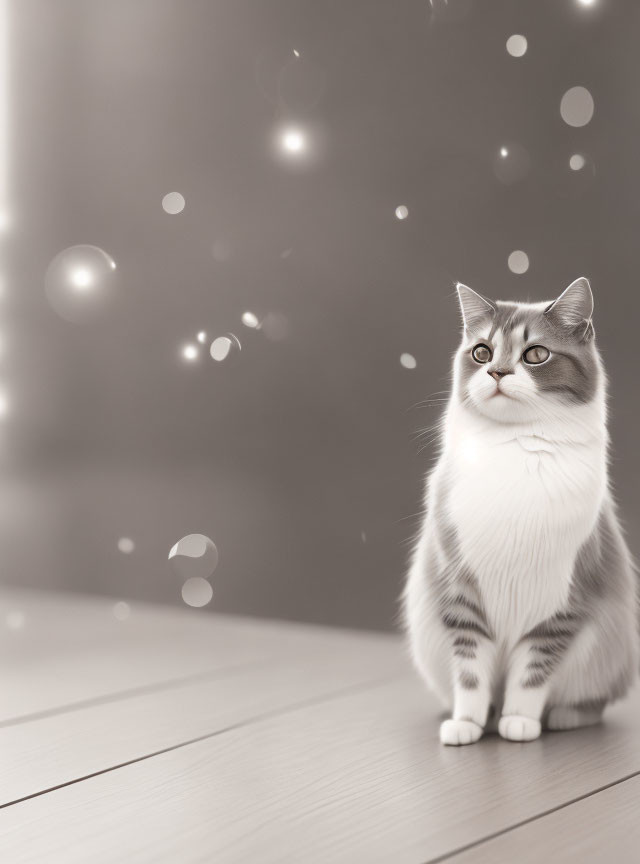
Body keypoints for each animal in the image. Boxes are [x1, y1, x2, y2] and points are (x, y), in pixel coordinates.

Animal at [404, 276, 640, 744]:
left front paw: (519, 722)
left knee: (591, 703)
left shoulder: (561, 605)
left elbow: (532, 673)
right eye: (482, 352)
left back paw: (562, 717)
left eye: (535, 354)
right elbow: (471, 674)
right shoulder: (460, 590)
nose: (496, 372)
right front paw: (467, 724)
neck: (515, 447)